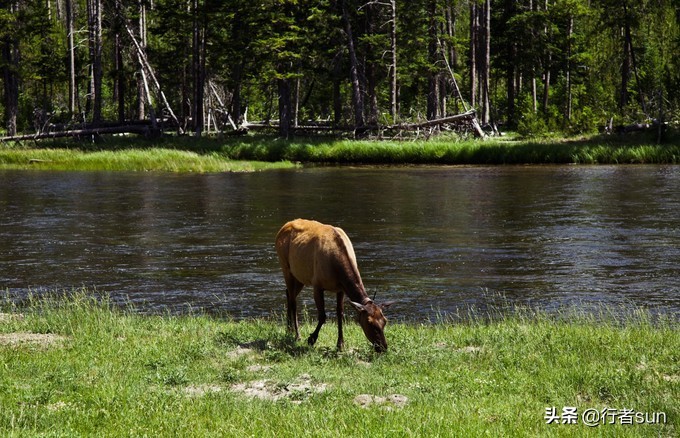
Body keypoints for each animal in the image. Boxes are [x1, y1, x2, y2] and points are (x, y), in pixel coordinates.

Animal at [274, 219, 390, 352]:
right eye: (370, 323)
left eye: (385, 321)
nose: (383, 347)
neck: (337, 268)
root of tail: (282, 228)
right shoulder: (317, 285)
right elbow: (322, 316)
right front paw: (311, 339)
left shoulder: (341, 289)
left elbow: (340, 313)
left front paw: (340, 344)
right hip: (285, 267)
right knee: (293, 301)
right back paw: (297, 335)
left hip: (299, 276)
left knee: (288, 293)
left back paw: (289, 329)